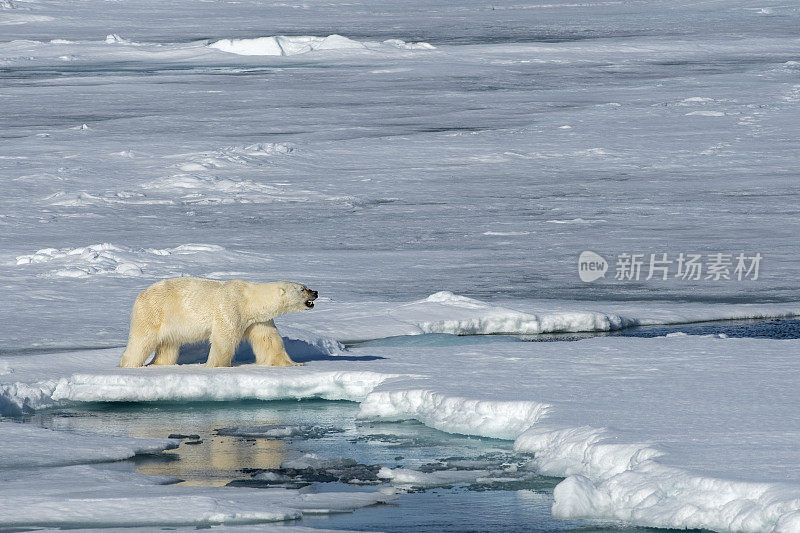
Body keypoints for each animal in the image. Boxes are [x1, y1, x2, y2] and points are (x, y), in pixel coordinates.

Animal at [119, 278, 318, 366]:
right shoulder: (231, 307)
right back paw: (130, 364)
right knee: (141, 341)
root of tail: (141, 294)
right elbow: (224, 338)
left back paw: (160, 364)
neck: (249, 299)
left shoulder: (258, 320)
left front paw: (294, 364)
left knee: (169, 344)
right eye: (303, 289)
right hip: (153, 312)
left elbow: (269, 340)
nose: (316, 292)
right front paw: (218, 366)